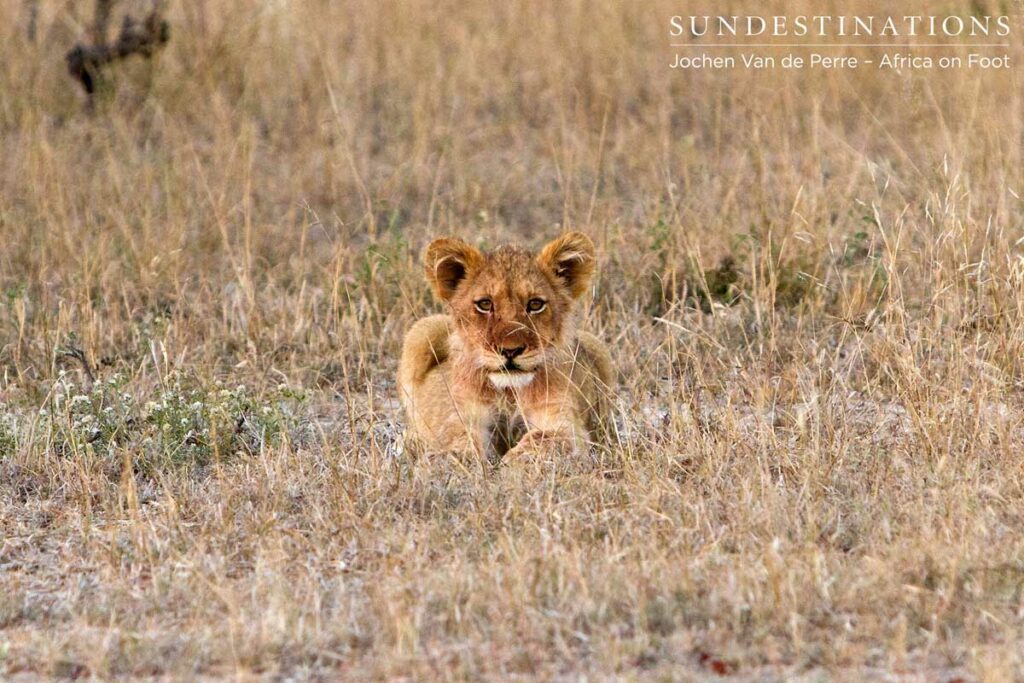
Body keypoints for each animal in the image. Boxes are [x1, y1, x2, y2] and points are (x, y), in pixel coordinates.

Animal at [397, 231, 613, 461]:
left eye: (535, 304)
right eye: (485, 304)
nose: (510, 350)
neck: (509, 392)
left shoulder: (565, 421)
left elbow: (545, 438)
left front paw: (513, 460)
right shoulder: (461, 412)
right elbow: (458, 435)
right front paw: (458, 457)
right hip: (423, 329)